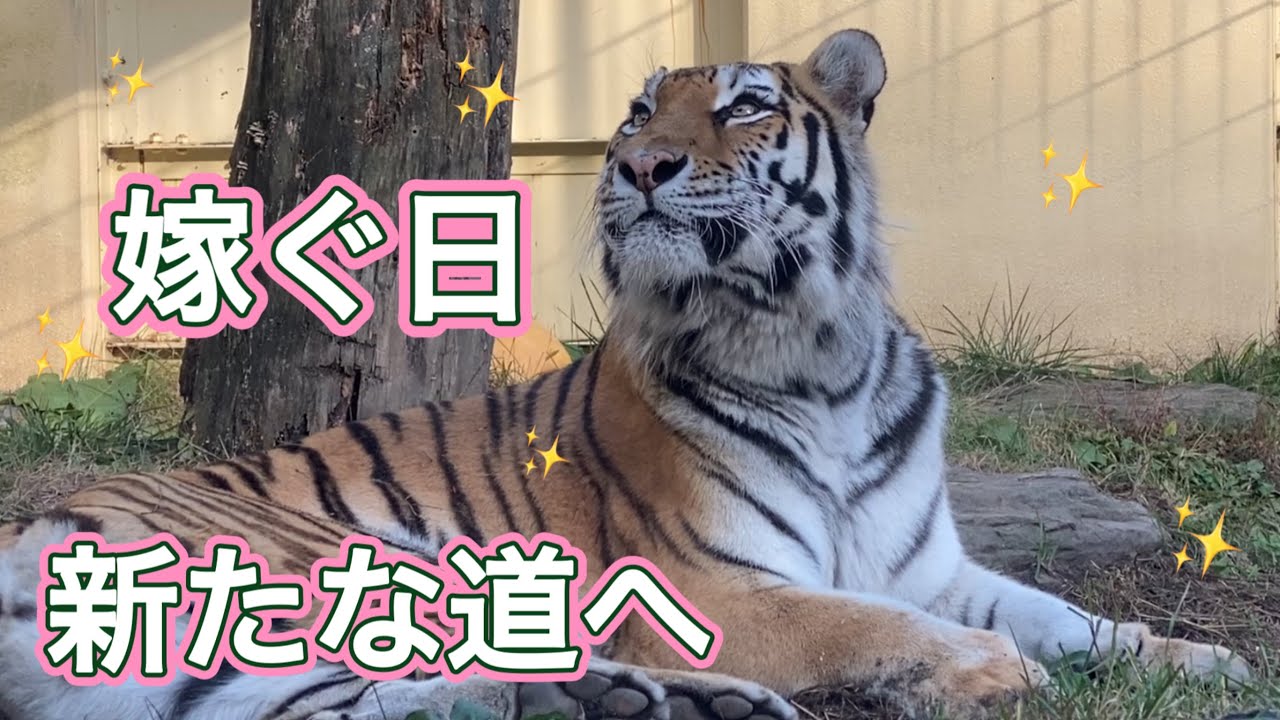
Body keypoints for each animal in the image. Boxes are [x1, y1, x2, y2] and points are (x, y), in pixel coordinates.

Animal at [0, 27, 1252, 720]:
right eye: (640, 110)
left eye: (743, 106)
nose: (638, 164)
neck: (817, 360)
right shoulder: (708, 587)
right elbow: (867, 625)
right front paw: (993, 672)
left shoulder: (929, 567)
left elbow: (1063, 613)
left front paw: (1202, 660)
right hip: (335, 573)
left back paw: (663, 704)